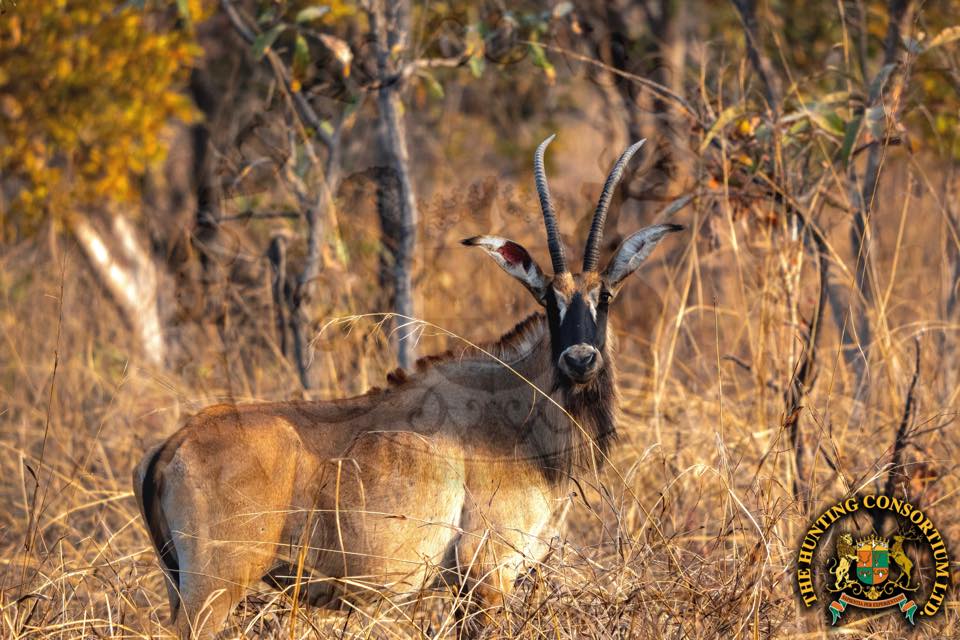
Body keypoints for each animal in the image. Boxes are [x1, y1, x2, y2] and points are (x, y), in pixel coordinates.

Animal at [133, 135, 683, 639]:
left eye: (605, 296)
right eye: (549, 300)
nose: (579, 359)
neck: (516, 412)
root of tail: (173, 445)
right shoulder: (488, 575)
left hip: (181, 583)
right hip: (213, 591)